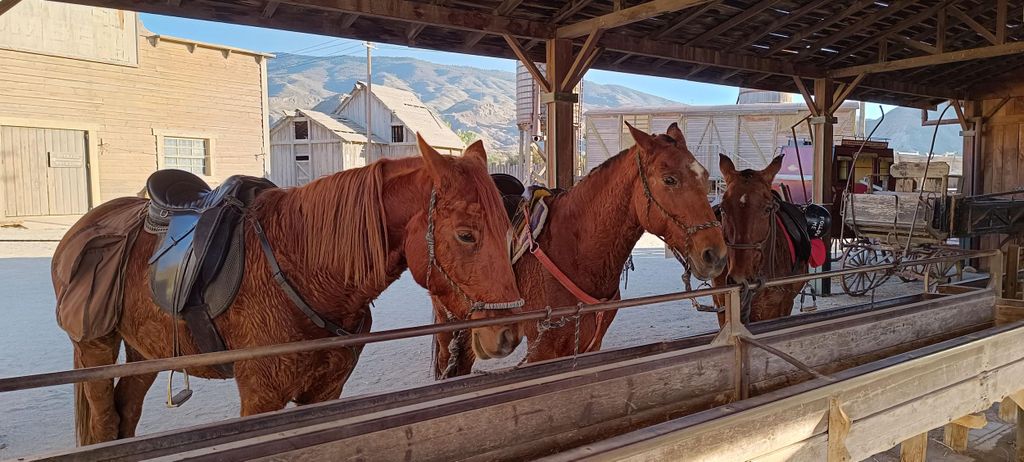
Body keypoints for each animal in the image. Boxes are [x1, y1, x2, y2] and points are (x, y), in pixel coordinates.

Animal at [55, 134, 522, 445]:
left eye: (508, 226)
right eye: (465, 235)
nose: (507, 334)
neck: (307, 271)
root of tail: (84, 225)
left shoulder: (325, 391)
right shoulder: (260, 398)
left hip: (145, 349)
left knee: (126, 413)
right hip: (94, 347)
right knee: (104, 425)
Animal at [433, 122, 728, 378]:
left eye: (705, 178)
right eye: (669, 180)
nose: (715, 255)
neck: (575, 252)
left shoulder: (591, 344)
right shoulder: (542, 351)